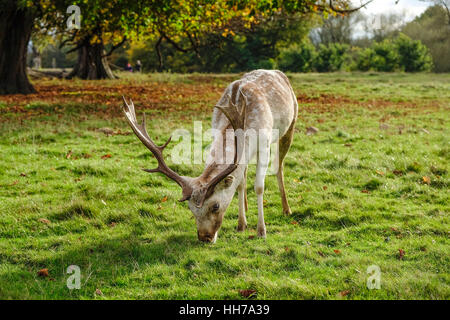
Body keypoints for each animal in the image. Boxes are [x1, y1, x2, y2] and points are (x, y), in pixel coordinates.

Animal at [124, 69, 298, 242]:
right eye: (190, 208)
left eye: (215, 206)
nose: (204, 238)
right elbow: (240, 183)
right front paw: (241, 225)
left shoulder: (265, 145)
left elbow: (259, 187)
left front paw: (261, 231)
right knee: (245, 173)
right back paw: (248, 208)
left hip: (290, 126)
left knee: (279, 166)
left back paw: (286, 209)